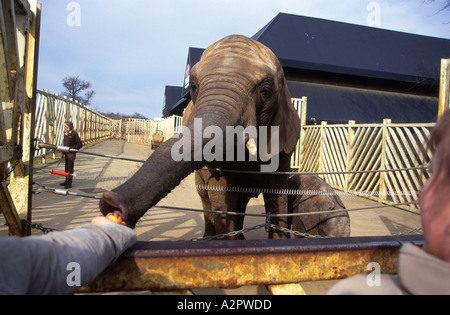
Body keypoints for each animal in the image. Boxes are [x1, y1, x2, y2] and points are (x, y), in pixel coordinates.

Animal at [100, 35, 300, 239]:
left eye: (265, 91)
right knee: (205, 196)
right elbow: (221, 195)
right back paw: (209, 238)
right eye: (194, 86)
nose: (111, 203)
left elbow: (278, 197)